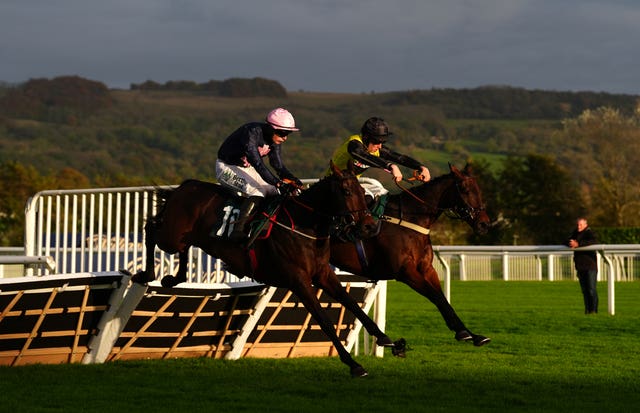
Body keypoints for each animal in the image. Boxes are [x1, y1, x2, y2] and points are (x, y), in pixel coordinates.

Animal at [132, 162, 402, 376]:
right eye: (346, 191)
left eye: (363, 192)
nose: (368, 227)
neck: (305, 225)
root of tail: (186, 186)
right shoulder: (298, 280)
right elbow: (324, 320)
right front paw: (353, 364)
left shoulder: (323, 273)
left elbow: (351, 303)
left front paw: (388, 340)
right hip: (171, 236)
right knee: (151, 229)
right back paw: (146, 273)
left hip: (184, 238)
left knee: (179, 245)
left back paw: (173, 278)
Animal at [330, 163, 490, 346]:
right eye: (465, 189)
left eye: (478, 189)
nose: (484, 224)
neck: (410, 220)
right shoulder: (405, 272)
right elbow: (436, 297)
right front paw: (464, 332)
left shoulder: (427, 269)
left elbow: (443, 299)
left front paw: (469, 333)